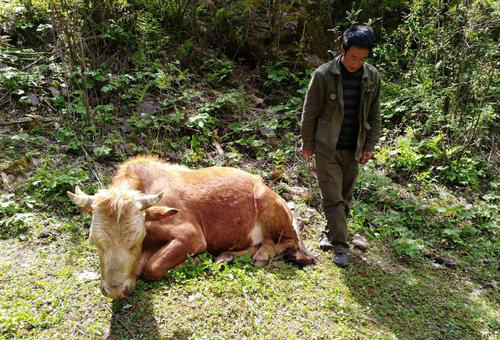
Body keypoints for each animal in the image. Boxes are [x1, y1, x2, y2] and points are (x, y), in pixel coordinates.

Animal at [69, 155, 316, 298]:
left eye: (136, 239)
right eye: (94, 241)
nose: (114, 291)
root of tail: (264, 184)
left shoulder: (192, 235)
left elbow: (152, 267)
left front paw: (193, 260)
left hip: (269, 206)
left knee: (288, 241)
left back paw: (262, 255)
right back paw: (226, 257)